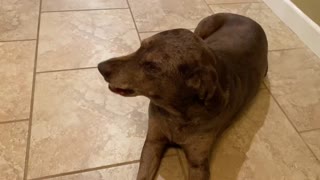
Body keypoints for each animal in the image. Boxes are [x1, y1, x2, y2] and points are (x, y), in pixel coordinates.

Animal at [97, 13, 268, 180]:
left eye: (152, 67)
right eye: (140, 46)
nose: (101, 67)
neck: (176, 113)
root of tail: (246, 17)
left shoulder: (198, 163)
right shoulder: (153, 142)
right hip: (202, 29)